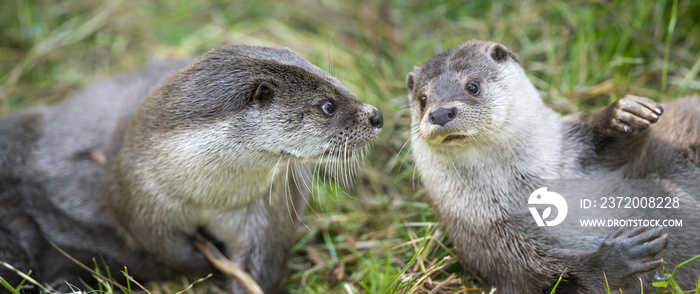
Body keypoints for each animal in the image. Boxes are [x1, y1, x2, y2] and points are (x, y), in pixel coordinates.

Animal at [0, 44, 382, 292]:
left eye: (339, 83)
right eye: (328, 105)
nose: (376, 115)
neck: (207, 197)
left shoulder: (267, 209)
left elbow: (262, 265)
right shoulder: (141, 201)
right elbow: (167, 248)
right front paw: (203, 267)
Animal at [408, 40, 696, 294]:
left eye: (472, 86)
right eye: (423, 99)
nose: (440, 113)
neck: (524, 190)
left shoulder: (574, 147)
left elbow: (632, 144)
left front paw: (623, 112)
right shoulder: (489, 243)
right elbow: (557, 279)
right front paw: (617, 256)